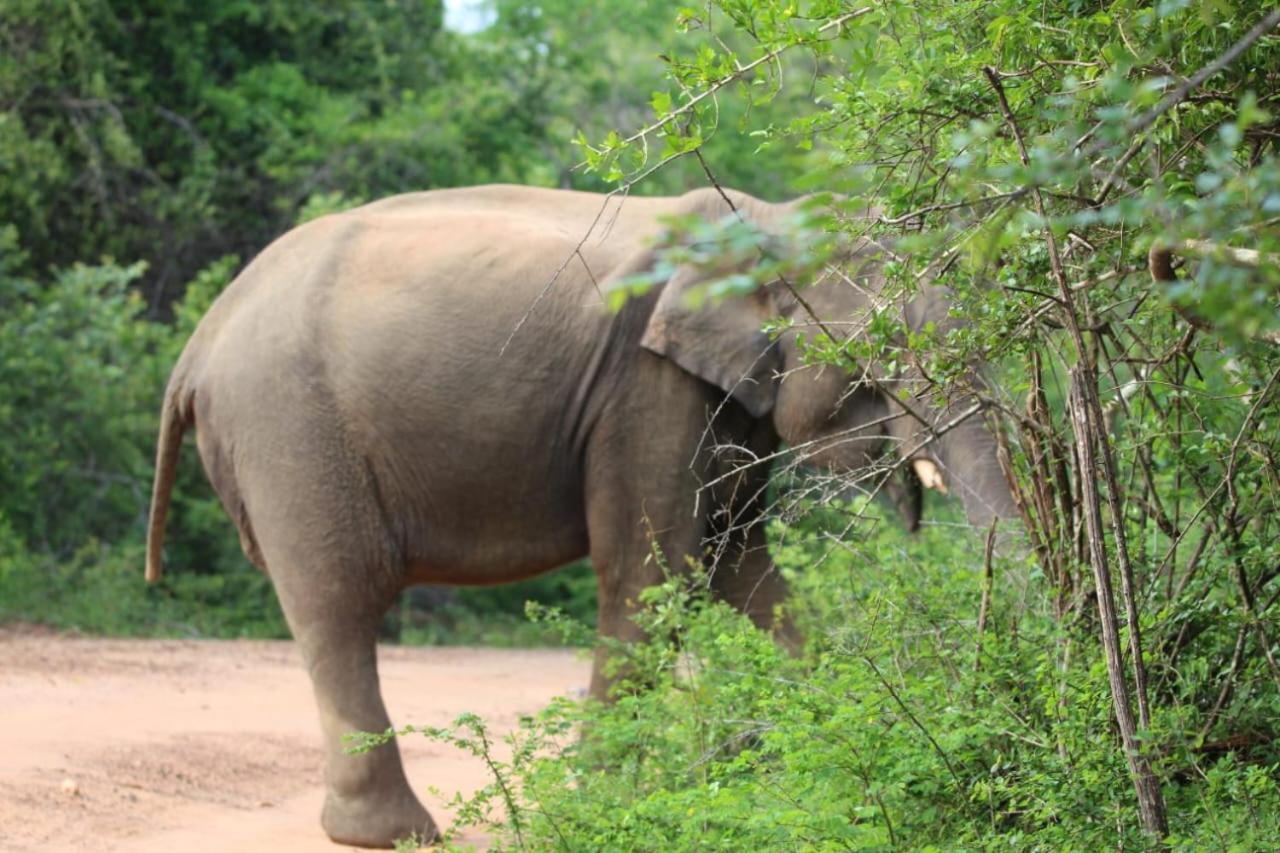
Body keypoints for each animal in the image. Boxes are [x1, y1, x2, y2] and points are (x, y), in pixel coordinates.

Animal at [142, 180, 1018, 845]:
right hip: (289, 430)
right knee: (338, 601)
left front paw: (820, 730)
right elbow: (651, 571)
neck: (767, 220)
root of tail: (195, 347)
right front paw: (594, 808)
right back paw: (393, 834)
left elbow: (737, 562)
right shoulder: (646, 386)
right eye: (884, 348)